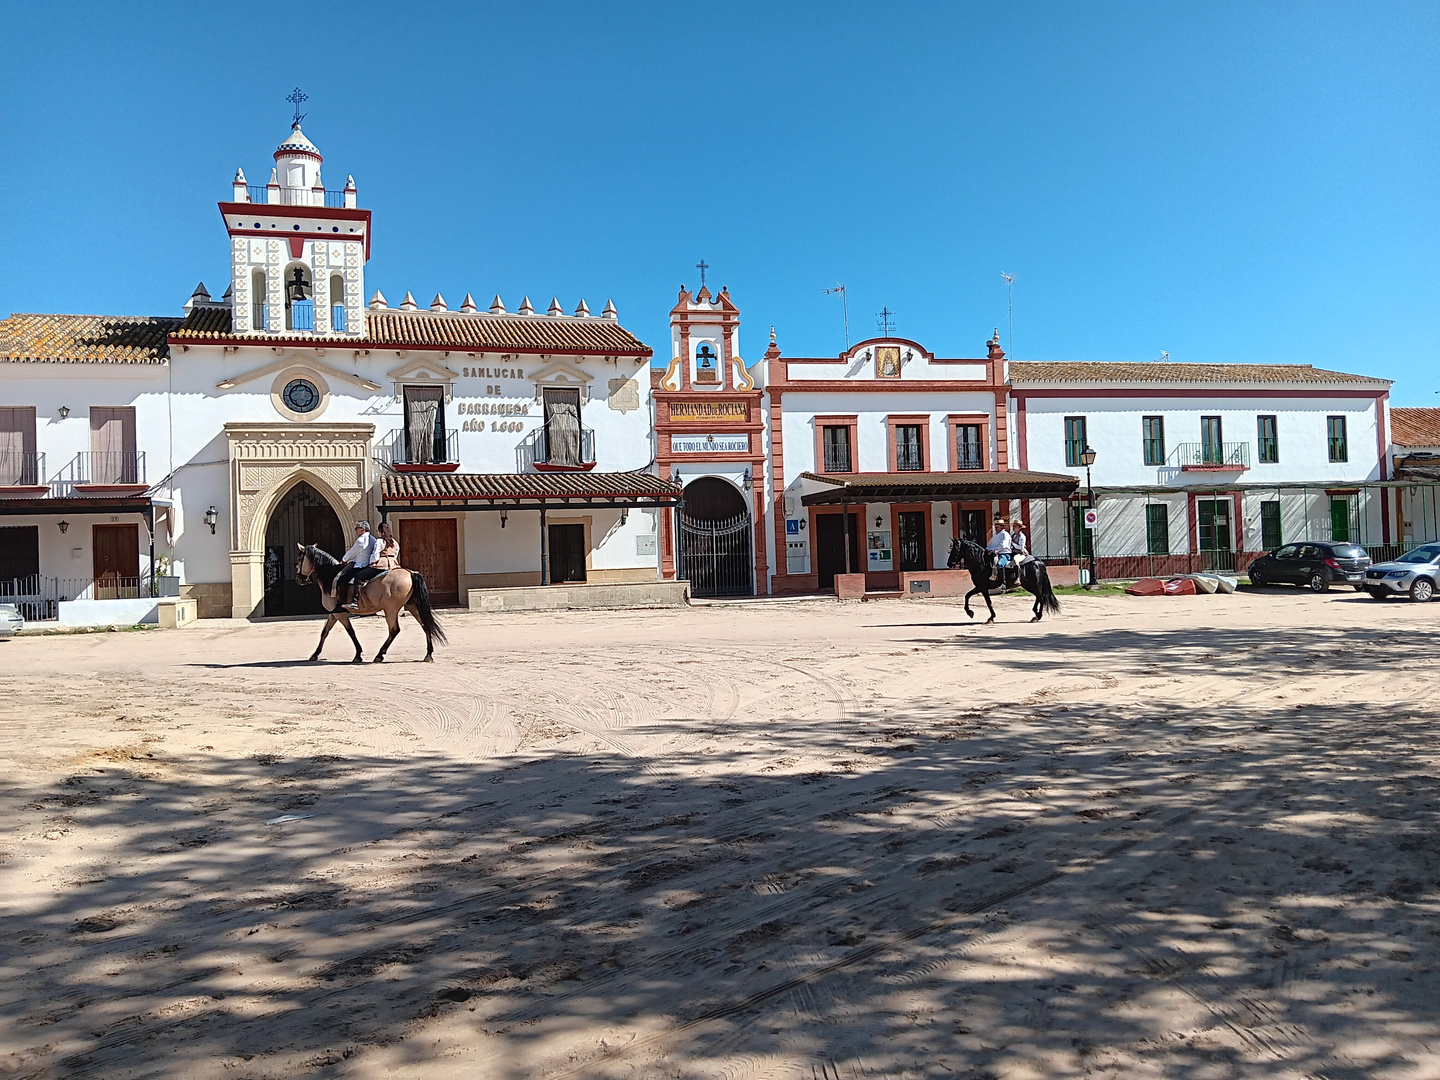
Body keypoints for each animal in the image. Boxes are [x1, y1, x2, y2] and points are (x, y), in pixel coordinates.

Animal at [292, 544, 443, 665]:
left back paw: (379, 655)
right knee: (425, 625)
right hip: (413, 606)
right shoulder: (334, 614)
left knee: (394, 630)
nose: (299, 579)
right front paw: (315, 654)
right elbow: (325, 632)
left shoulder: (340, 614)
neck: (332, 577)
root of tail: (410, 572)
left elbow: (351, 632)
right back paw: (428, 655)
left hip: (391, 609)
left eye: (299, 559)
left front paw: (358, 655)